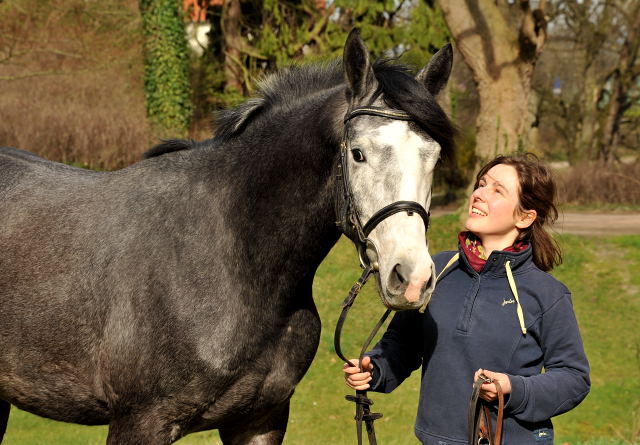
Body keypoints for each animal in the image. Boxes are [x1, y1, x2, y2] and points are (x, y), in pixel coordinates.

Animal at [0, 29, 456, 442]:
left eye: (433, 157)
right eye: (358, 153)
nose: (412, 278)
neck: (232, 258)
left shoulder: (260, 420)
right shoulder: (140, 422)